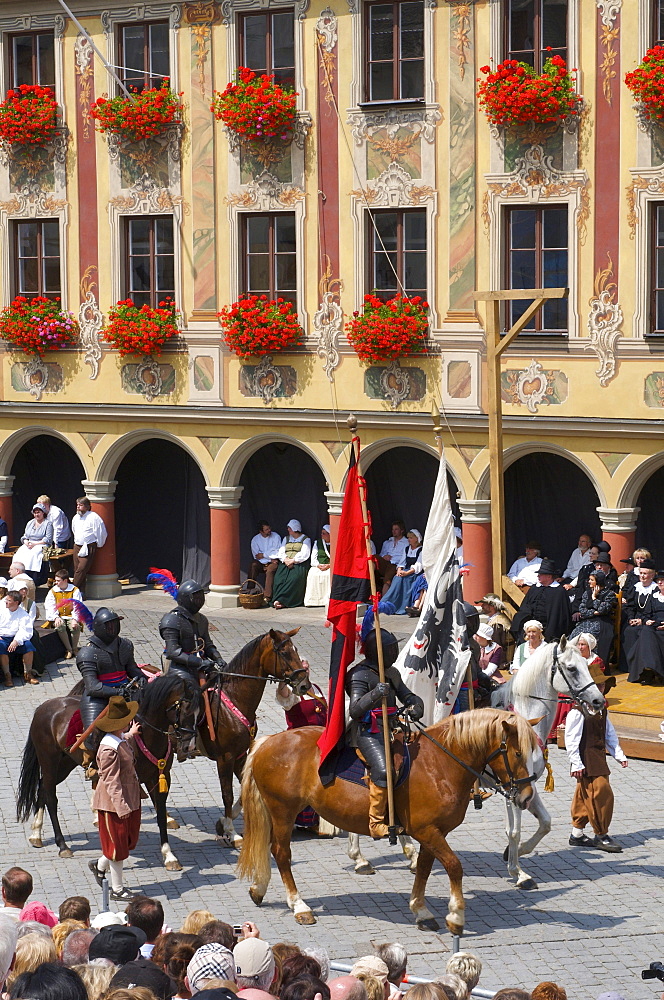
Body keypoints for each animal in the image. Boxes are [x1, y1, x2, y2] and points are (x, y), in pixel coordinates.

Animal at [16, 672, 196, 876]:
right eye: (184, 708)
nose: (188, 746)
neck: (145, 735)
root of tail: (43, 708)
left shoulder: (158, 778)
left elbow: (160, 815)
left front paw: (169, 856)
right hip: (48, 761)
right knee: (51, 798)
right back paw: (62, 845)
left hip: (64, 764)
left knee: (42, 789)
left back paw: (36, 834)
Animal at [196, 628, 308, 848]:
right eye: (284, 653)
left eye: (296, 650)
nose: (304, 685)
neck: (235, 698)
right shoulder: (225, 757)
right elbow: (228, 794)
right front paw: (232, 833)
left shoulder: (240, 754)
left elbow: (246, 787)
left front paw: (225, 822)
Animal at [239, 708, 540, 932]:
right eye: (517, 753)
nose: (527, 797)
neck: (440, 764)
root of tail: (267, 741)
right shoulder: (428, 830)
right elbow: (454, 866)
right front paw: (455, 915)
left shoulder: (433, 832)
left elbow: (424, 868)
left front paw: (421, 910)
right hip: (283, 811)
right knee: (281, 853)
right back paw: (299, 905)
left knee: (268, 849)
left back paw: (258, 888)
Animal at [492, 632, 608, 892]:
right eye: (572, 668)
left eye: (587, 664)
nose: (598, 700)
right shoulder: (511, 788)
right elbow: (513, 831)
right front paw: (519, 873)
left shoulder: (528, 786)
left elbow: (545, 822)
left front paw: (516, 853)